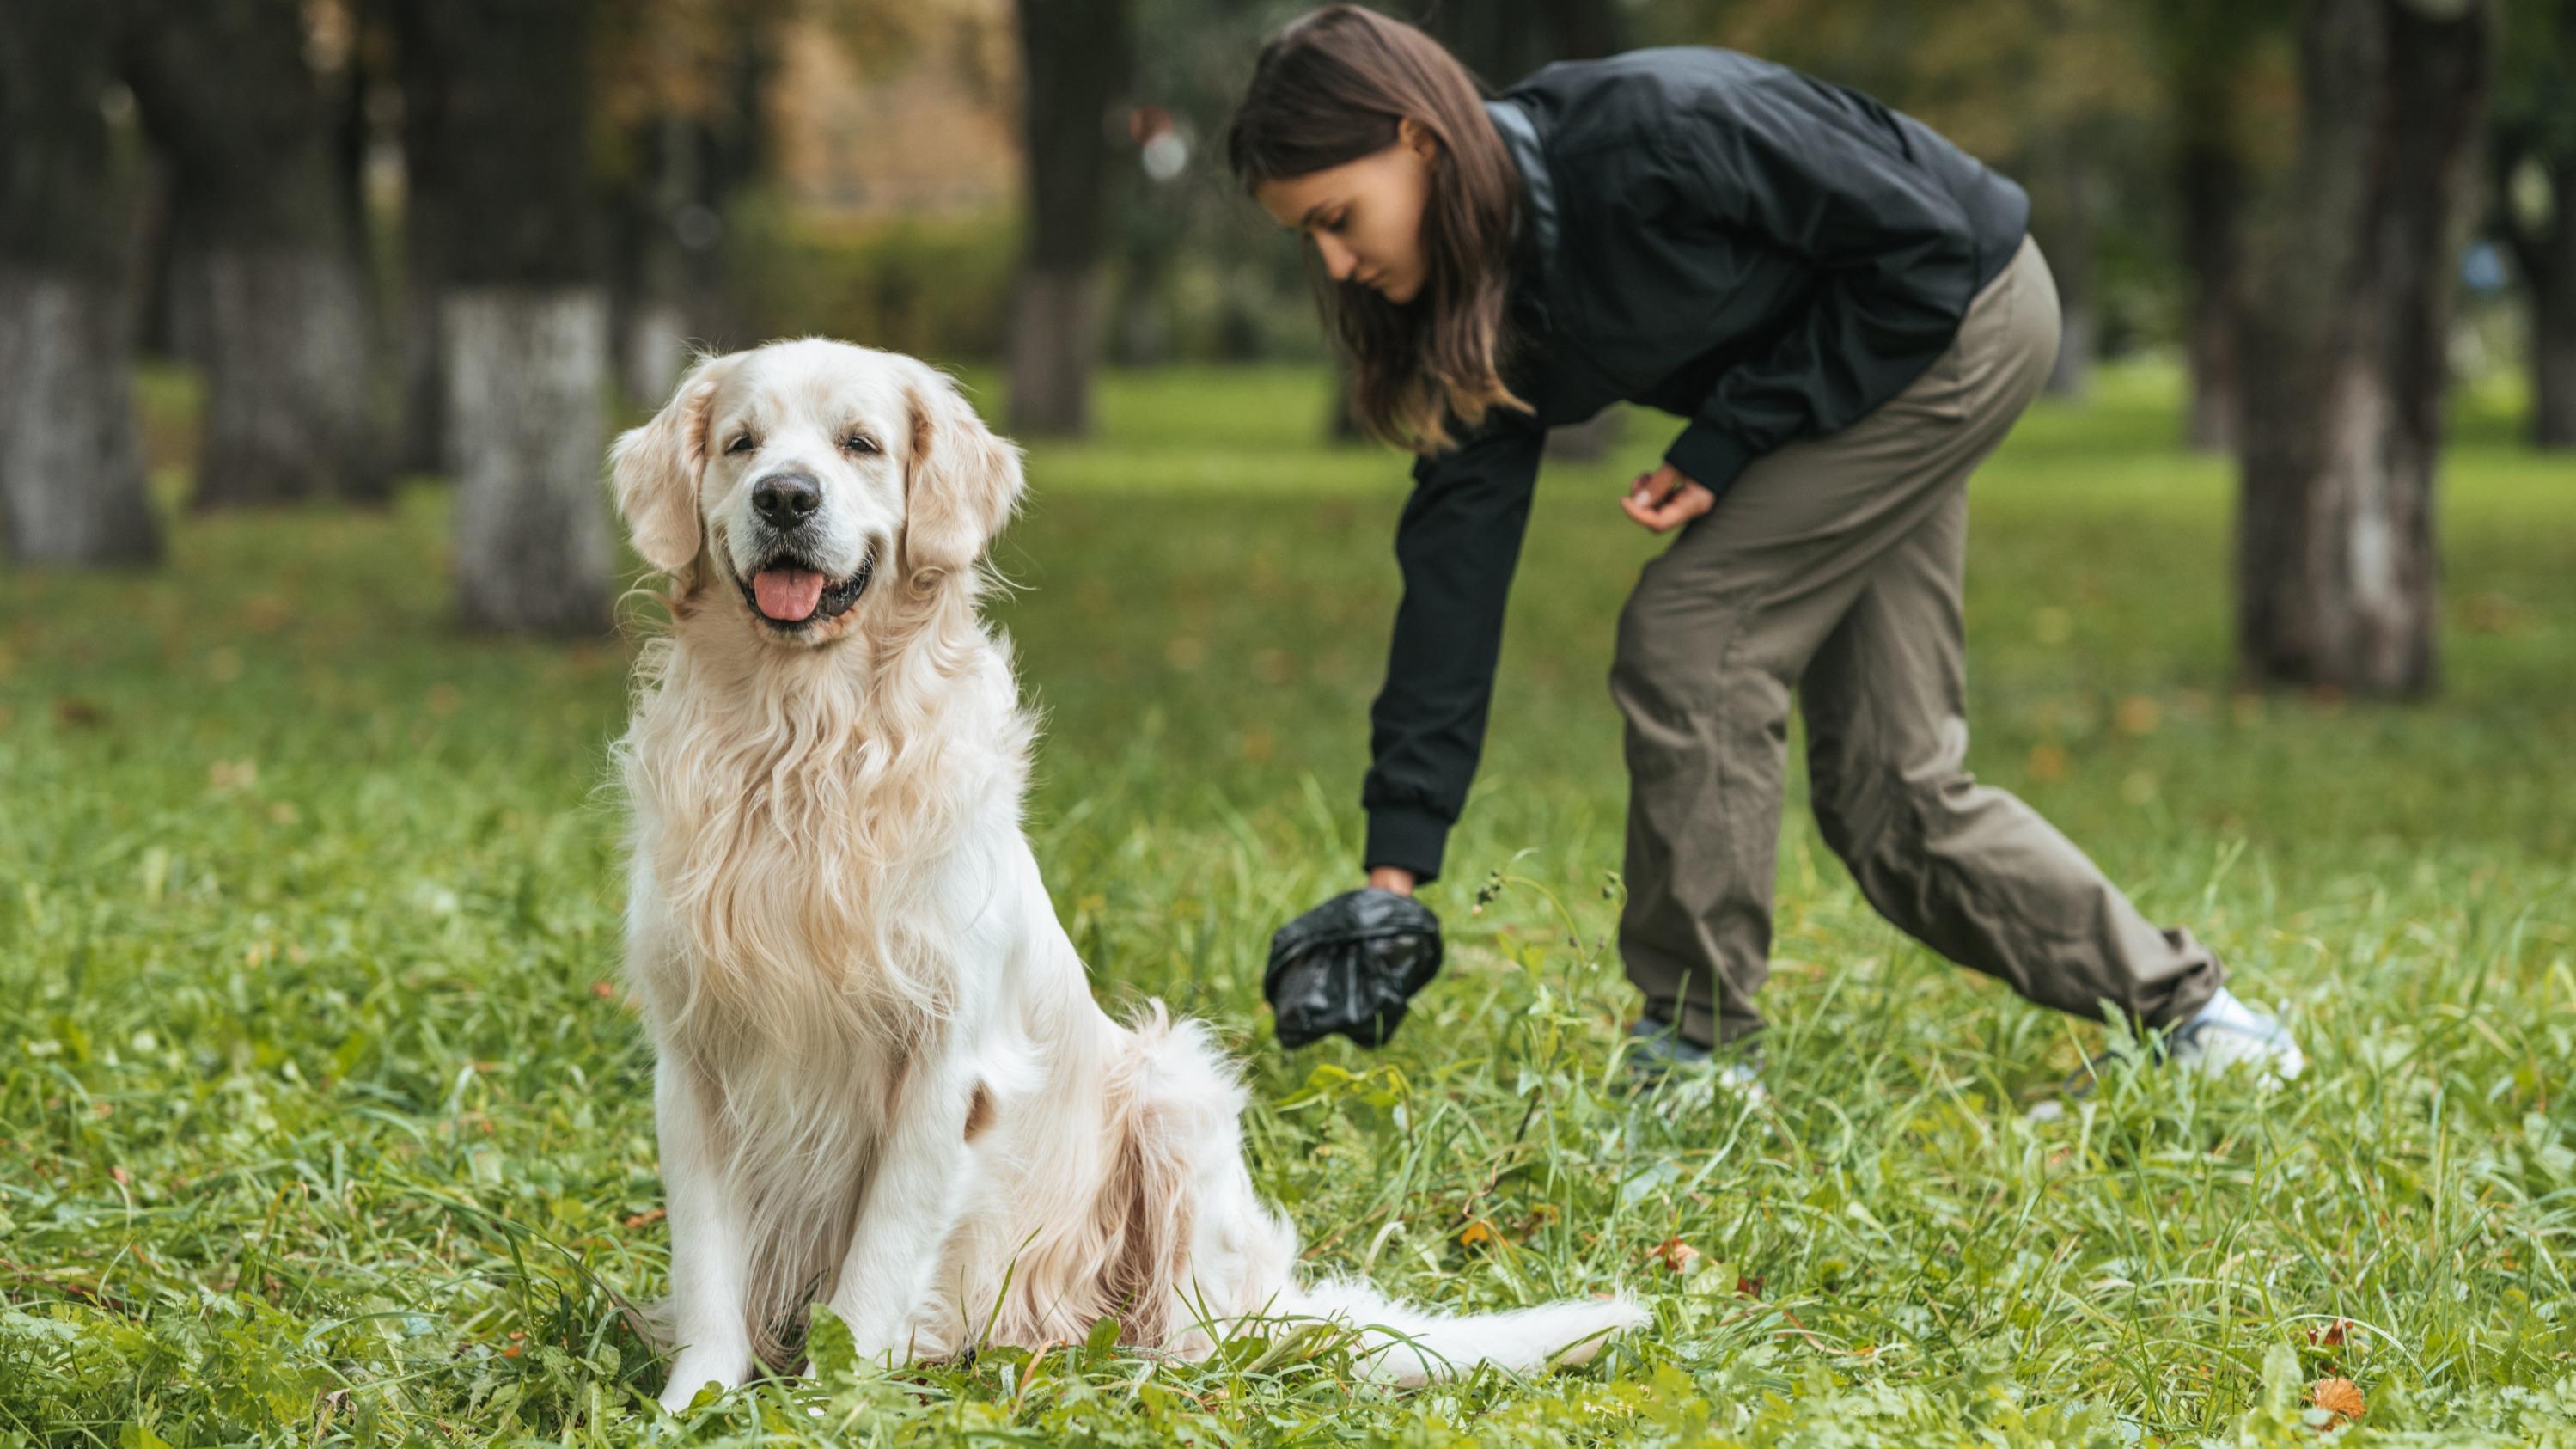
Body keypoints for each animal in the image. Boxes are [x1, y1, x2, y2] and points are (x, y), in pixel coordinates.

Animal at [613, 335, 1638, 1403]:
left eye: (860, 444)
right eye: (741, 444)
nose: (784, 497)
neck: (802, 746)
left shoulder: (945, 1063)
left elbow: (874, 1271)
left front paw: (825, 1403)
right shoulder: (692, 1057)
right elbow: (708, 1269)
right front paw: (695, 1403)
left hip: (1174, 1089)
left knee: (1200, 1336)